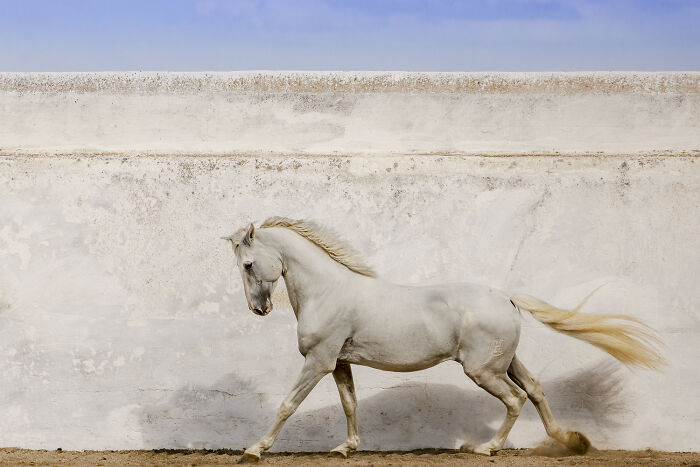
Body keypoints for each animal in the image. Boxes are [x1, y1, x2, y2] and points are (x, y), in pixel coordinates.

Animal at [221, 217, 663, 461]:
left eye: (248, 264)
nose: (258, 309)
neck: (328, 291)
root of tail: (505, 296)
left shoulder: (317, 361)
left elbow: (288, 404)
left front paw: (253, 450)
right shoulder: (339, 361)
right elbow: (349, 404)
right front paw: (346, 448)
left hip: (483, 370)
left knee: (516, 399)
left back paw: (487, 449)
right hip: (506, 362)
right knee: (535, 390)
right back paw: (568, 441)